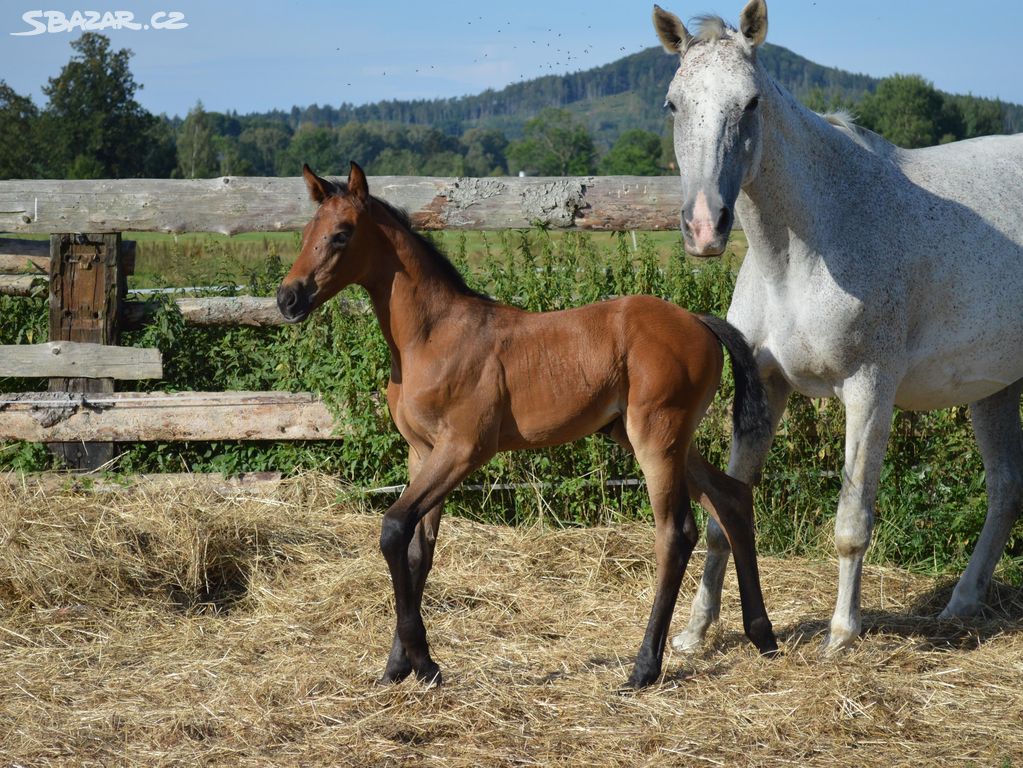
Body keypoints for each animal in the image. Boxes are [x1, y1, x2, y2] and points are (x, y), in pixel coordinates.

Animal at [278, 159, 773, 687]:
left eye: (341, 235)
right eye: (306, 232)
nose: (288, 299)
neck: (431, 337)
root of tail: (699, 322)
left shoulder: (464, 450)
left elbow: (393, 528)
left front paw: (425, 663)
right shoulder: (422, 453)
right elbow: (417, 551)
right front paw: (397, 666)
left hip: (656, 437)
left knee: (675, 534)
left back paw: (644, 668)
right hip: (664, 438)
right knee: (732, 499)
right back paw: (762, 635)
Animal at [650, 0, 1023, 650]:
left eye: (751, 102)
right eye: (674, 103)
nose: (704, 227)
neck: (803, 251)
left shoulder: (869, 392)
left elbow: (852, 521)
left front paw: (843, 633)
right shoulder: (763, 390)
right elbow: (727, 516)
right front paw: (696, 632)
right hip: (995, 384)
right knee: (1004, 487)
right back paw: (961, 603)